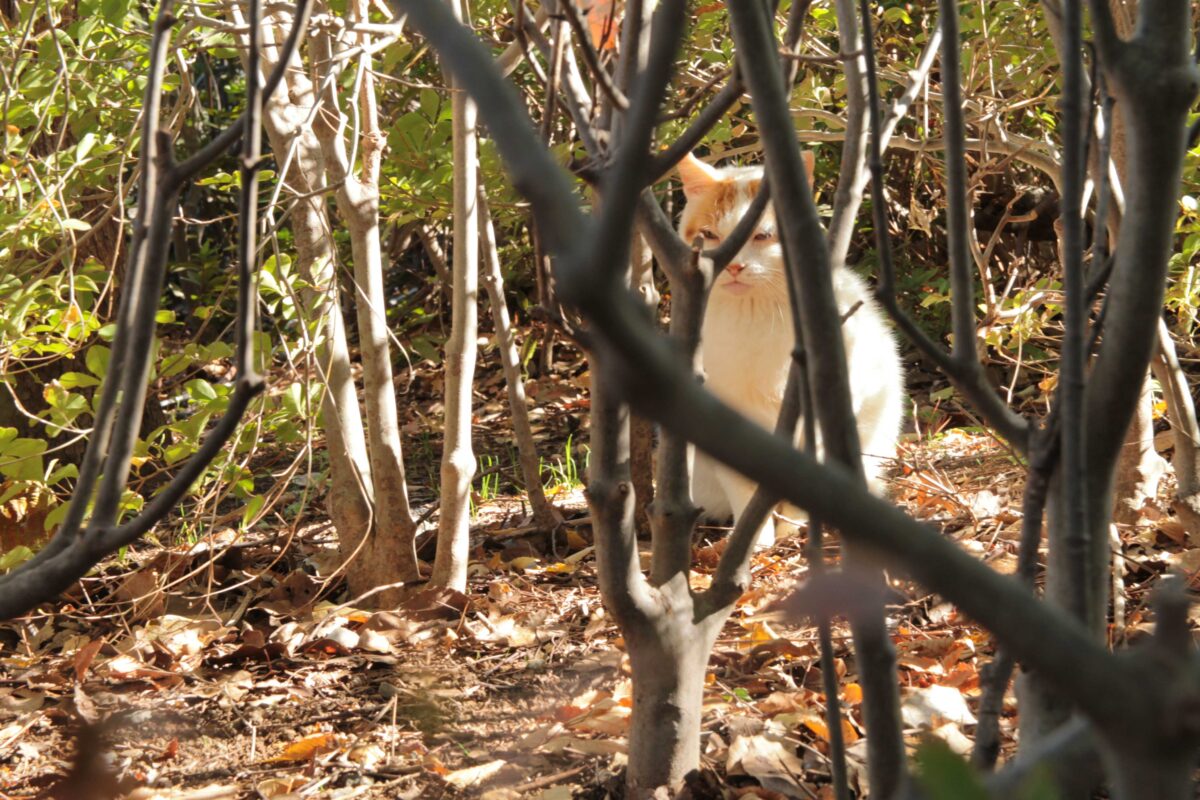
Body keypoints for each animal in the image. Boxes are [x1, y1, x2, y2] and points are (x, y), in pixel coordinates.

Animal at [681, 151, 902, 546]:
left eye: (763, 235)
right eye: (708, 235)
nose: (733, 265)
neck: (752, 318)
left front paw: (791, 529)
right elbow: (744, 489)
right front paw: (754, 539)